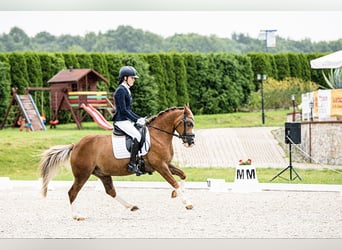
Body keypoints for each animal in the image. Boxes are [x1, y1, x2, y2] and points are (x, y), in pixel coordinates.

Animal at [39, 105, 195, 221]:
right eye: (188, 123)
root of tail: (76, 145)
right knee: (72, 192)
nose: (191, 142)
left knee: (110, 191)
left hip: (102, 173)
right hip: (82, 174)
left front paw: (175, 194)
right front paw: (187, 203)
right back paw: (77, 216)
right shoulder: (160, 166)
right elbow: (174, 182)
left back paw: (131, 206)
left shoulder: (166, 164)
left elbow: (183, 175)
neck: (158, 136)